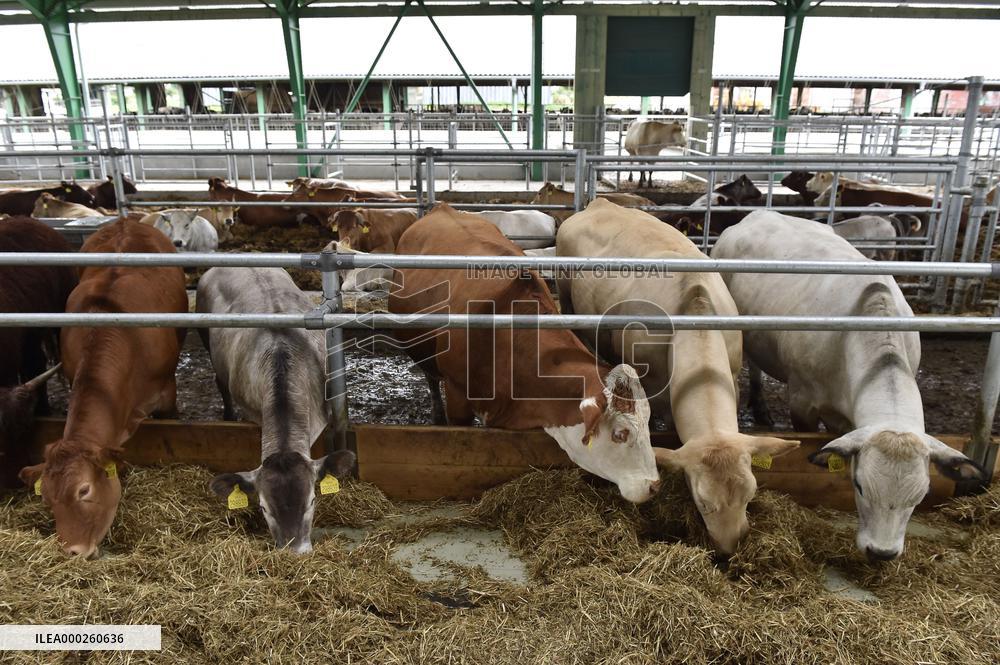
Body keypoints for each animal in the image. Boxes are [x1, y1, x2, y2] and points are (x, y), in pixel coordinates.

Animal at [389, 204, 661, 504]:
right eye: (620, 434)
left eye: (648, 424)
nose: (654, 485)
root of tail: (441, 208)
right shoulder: (458, 394)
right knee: (430, 379)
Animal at [556, 199, 799, 553]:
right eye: (703, 502)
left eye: (750, 495)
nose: (729, 550)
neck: (693, 311)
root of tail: (599, 202)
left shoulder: (733, 371)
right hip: (566, 296)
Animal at [712, 211, 985, 560]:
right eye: (860, 486)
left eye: (921, 496)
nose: (882, 553)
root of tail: (759, 213)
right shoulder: (802, 400)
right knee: (754, 367)